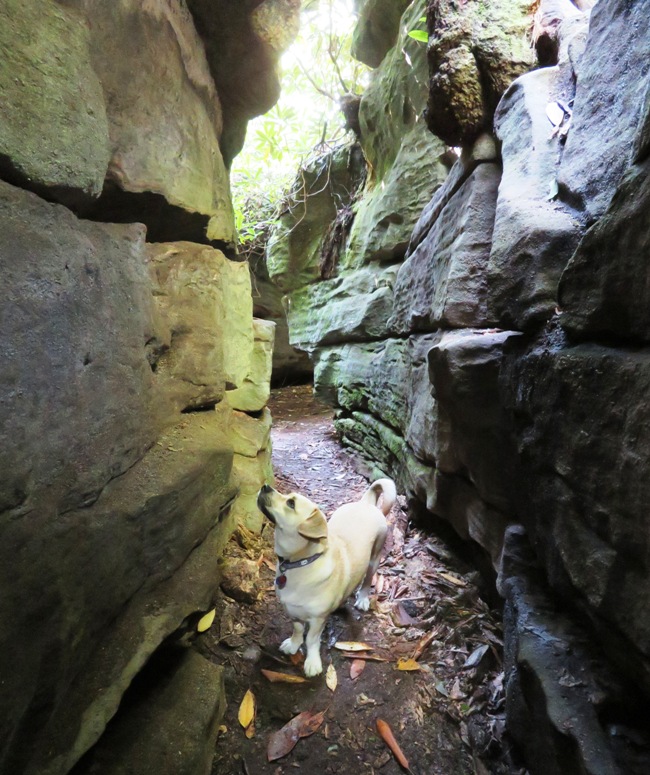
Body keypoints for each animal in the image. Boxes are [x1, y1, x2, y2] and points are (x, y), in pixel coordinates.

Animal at [256, 482, 392, 676]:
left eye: (291, 503)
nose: (266, 486)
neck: (301, 563)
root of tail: (366, 503)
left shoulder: (317, 620)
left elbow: (312, 640)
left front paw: (312, 662)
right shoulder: (293, 612)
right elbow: (297, 631)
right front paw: (294, 644)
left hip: (374, 558)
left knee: (367, 580)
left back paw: (363, 599)